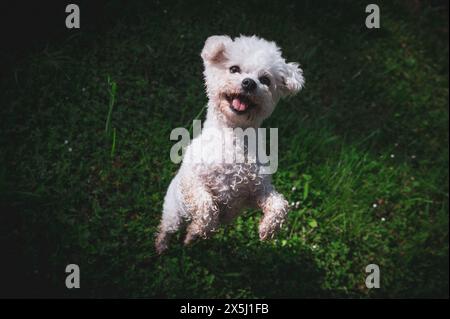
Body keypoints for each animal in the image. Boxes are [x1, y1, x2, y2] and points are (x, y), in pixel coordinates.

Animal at [154, 35, 302, 254]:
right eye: (234, 69)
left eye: (265, 80)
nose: (249, 83)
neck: (234, 140)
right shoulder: (194, 180)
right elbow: (206, 207)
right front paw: (201, 224)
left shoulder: (257, 191)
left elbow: (280, 205)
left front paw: (268, 228)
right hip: (174, 213)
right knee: (167, 228)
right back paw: (162, 246)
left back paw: (190, 238)